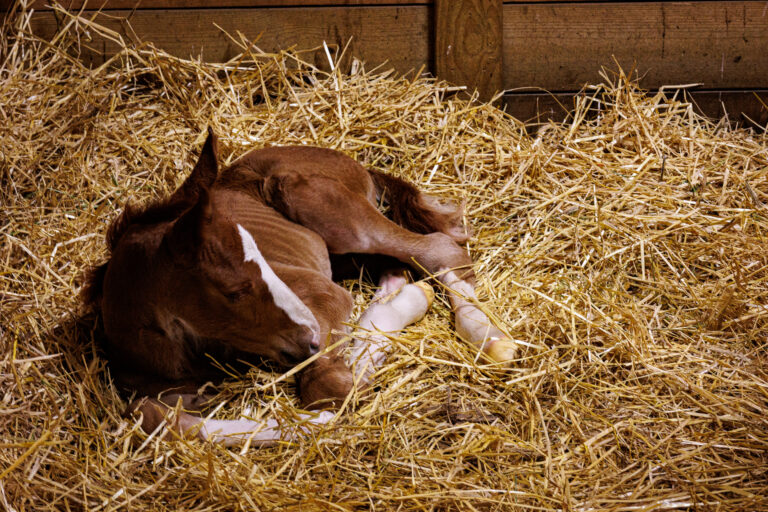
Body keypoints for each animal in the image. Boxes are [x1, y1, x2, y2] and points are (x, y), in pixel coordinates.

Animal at [84, 128, 517, 446]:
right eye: (233, 291)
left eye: (260, 257)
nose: (307, 336)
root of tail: (348, 160)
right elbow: (158, 418)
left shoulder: (320, 296)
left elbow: (330, 386)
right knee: (396, 265)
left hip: (318, 206)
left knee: (437, 250)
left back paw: (488, 337)